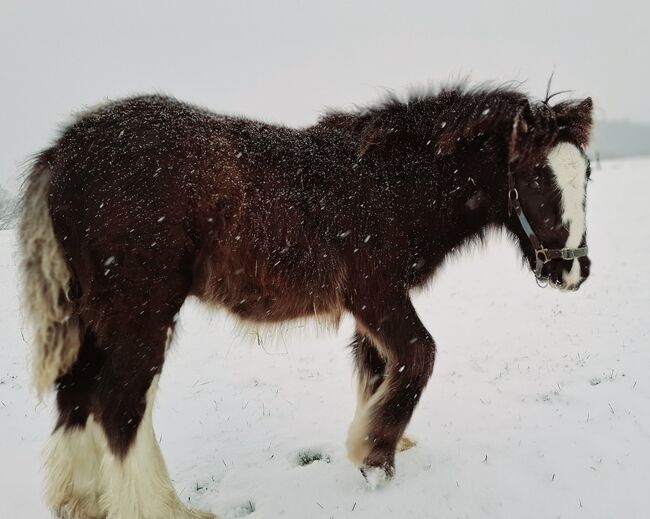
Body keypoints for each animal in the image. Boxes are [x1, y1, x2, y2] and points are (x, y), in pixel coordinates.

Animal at [16, 83, 592, 516]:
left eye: (585, 173)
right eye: (535, 177)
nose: (574, 270)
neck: (393, 184)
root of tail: (64, 154)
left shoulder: (374, 304)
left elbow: (376, 365)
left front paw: (382, 439)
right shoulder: (375, 292)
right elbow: (419, 355)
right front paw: (374, 457)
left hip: (93, 314)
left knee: (78, 392)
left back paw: (81, 501)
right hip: (142, 310)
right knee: (120, 402)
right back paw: (163, 509)